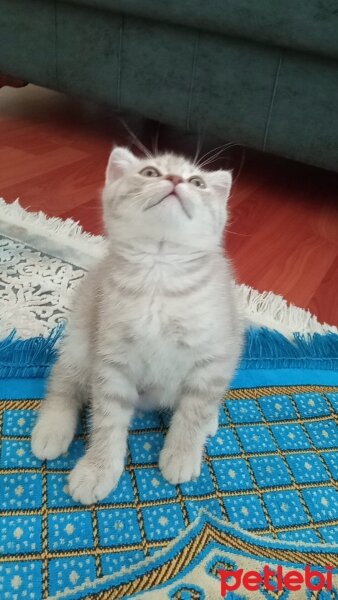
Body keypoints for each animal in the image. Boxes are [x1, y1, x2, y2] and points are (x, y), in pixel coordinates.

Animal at [31, 148, 243, 504]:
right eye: (149, 173)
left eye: (197, 182)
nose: (175, 179)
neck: (160, 272)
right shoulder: (112, 360)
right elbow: (107, 420)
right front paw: (98, 468)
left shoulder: (215, 355)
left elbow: (195, 408)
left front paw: (182, 452)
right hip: (81, 338)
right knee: (63, 381)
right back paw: (52, 428)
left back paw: (209, 420)